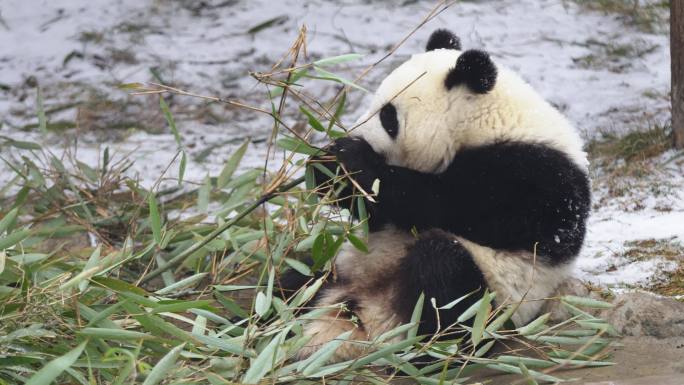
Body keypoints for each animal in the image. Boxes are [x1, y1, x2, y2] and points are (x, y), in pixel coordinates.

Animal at [288, 27, 588, 360]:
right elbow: (377, 216)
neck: (486, 120)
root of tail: (366, 318)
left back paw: (432, 350)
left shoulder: (530, 175)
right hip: (339, 265)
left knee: (443, 276)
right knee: (296, 278)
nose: (358, 134)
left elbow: (443, 205)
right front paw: (324, 168)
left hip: (494, 301)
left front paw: (350, 159)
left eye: (388, 117)